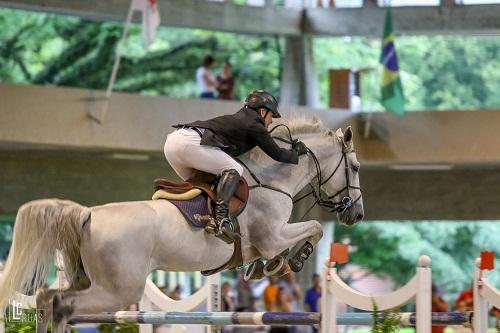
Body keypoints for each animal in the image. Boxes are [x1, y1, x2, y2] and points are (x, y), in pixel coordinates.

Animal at [0, 116, 364, 332]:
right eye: (357, 167)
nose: (357, 214)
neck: (274, 181)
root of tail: (88, 215)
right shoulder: (273, 237)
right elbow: (314, 228)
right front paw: (291, 261)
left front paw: (266, 267)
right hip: (119, 289)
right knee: (62, 304)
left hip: (83, 278)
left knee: (47, 298)